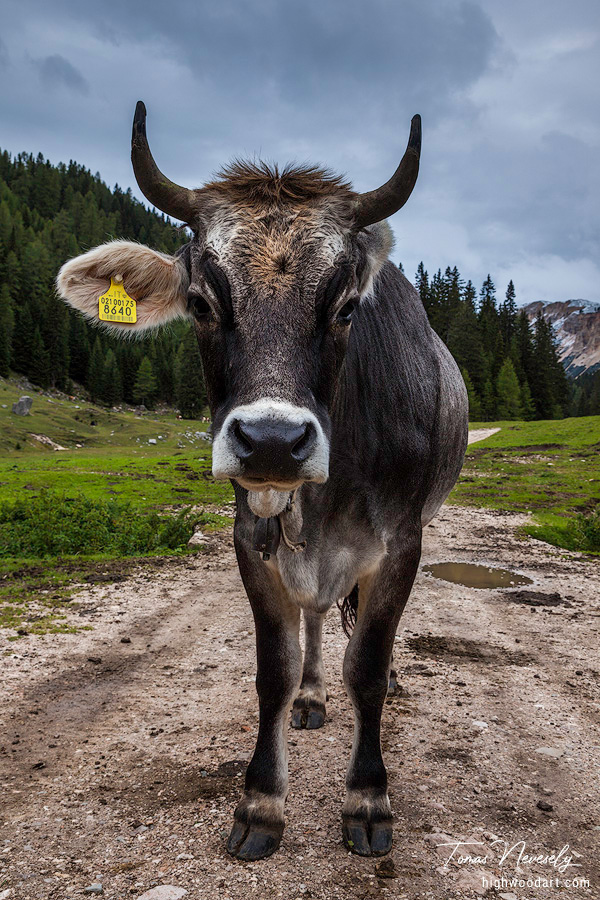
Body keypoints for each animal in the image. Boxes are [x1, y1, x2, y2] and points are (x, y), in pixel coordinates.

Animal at [57, 101, 468, 862]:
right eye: (199, 302)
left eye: (345, 306)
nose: (273, 440)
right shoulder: (252, 540)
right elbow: (272, 669)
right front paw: (261, 802)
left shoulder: (401, 544)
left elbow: (368, 665)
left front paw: (368, 798)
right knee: (315, 618)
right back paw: (312, 696)